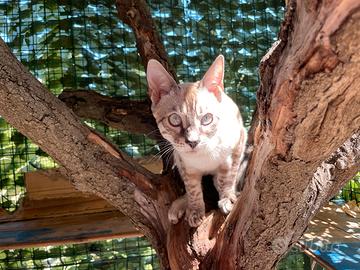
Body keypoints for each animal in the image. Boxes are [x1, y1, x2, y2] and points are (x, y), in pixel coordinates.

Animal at [146, 56, 248, 227]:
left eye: (207, 118)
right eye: (174, 120)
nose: (193, 142)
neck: (204, 157)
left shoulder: (238, 142)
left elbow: (228, 177)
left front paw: (227, 197)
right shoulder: (185, 163)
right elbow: (192, 188)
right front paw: (195, 211)